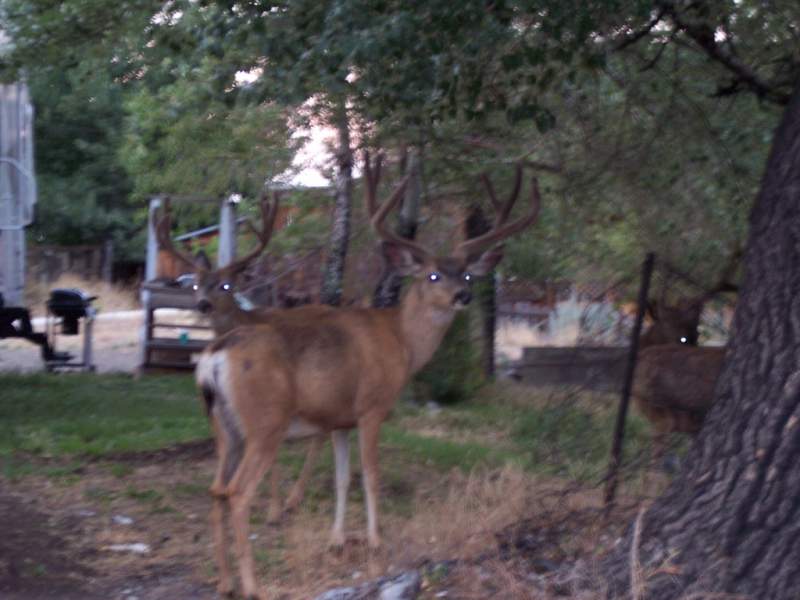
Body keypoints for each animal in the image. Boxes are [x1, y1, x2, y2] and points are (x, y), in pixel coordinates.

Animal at [153, 195, 328, 524]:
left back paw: (295, 499)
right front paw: (272, 505)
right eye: (196, 285)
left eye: (226, 285)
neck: (246, 320)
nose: (203, 305)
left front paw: (273, 510)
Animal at [196, 161, 540, 600]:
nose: (462, 296)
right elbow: (371, 475)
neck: (402, 343)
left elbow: (343, 478)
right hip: (265, 423)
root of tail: (215, 354)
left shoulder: (339, 418)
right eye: (432, 275)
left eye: (464, 273)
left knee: (216, 490)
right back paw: (252, 586)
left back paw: (224, 581)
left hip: (224, 428)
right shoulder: (372, 407)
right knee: (238, 493)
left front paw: (337, 539)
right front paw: (375, 540)